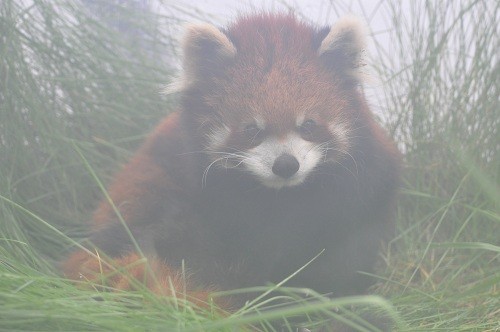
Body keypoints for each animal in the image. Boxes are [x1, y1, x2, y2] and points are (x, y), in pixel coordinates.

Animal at [63, 13, 402, 312]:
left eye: (308, 125)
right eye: (252, 129)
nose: (286, 165)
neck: (282, 199)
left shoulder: (360, 194)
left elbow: (345, 254)